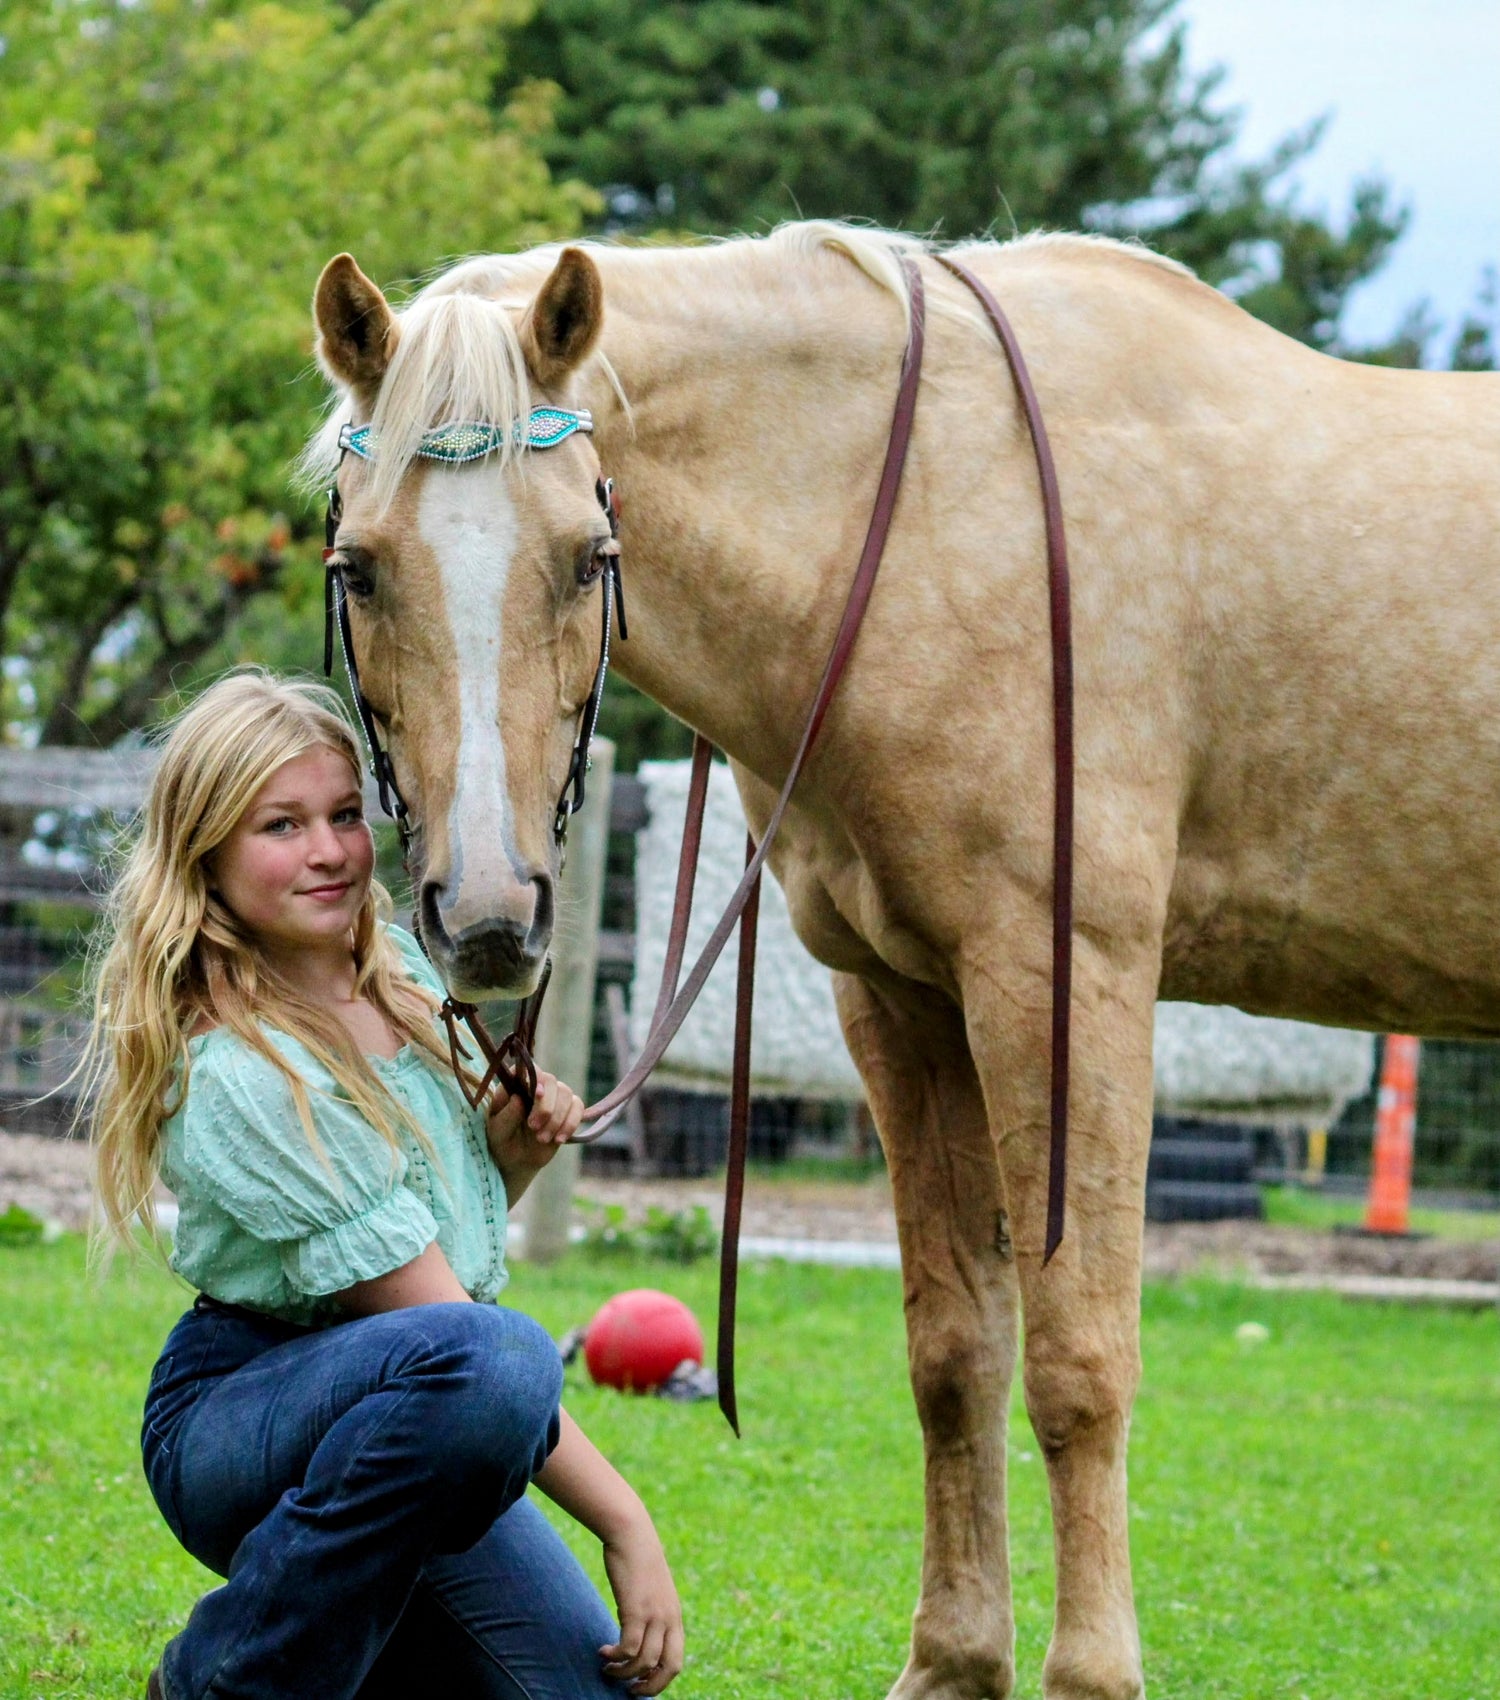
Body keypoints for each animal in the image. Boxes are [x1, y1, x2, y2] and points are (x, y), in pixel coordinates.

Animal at [304, 222, 1500, 1700]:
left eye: (588, 556)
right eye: (361, 566)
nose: (485, 914)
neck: (937, 510)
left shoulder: (1065, 979)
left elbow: (1078, 1359)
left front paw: (1089, 1674)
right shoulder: (904, 998)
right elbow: (955, 1351)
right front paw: (956, 1658)